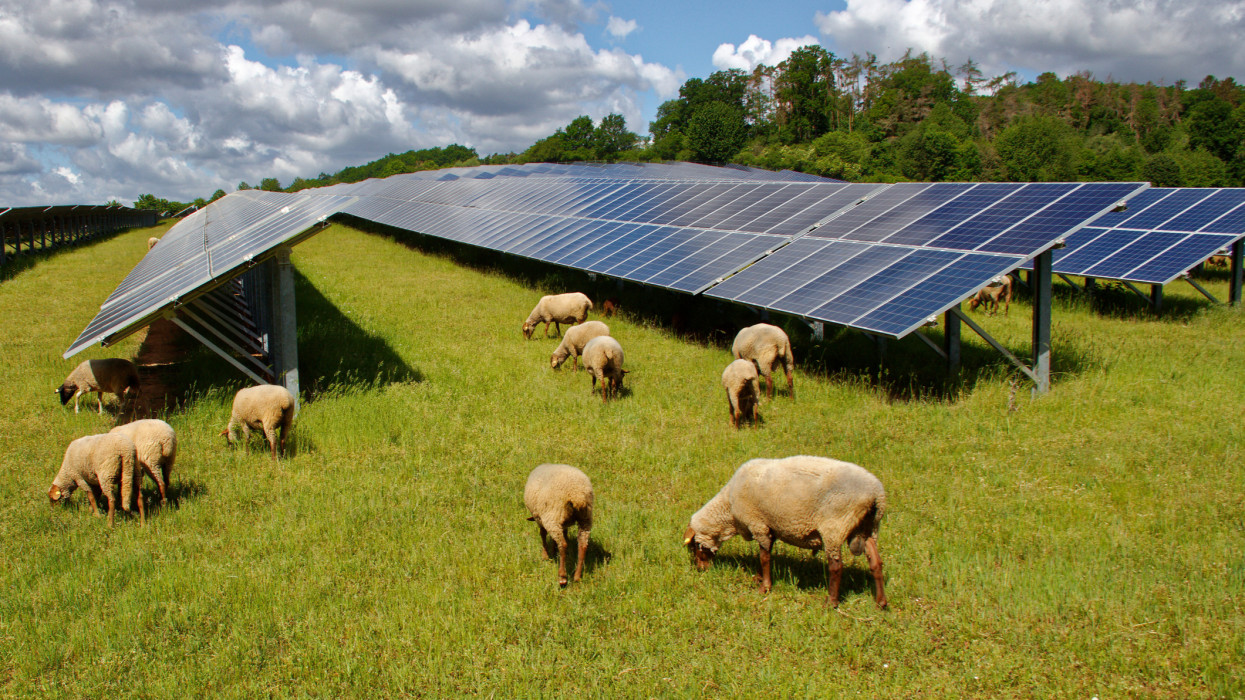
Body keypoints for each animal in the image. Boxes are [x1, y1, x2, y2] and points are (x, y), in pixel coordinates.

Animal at [687, 453, 891, 605]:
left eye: (695, 546)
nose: (700, 569)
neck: (728, 508)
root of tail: (876, 494)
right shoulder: (770, 527)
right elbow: (765, 555)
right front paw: (759, 578)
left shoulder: (758, 524)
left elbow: (764, 557)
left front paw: (765, 587)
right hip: (869, 528)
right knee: (876, 562)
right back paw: (880, 602)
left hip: (835, 526)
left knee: (836, 566)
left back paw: (831, 602)